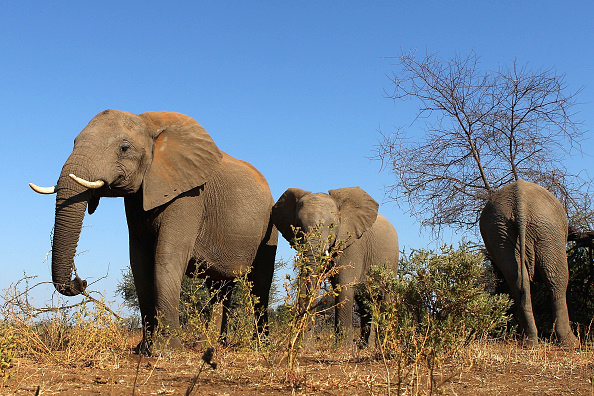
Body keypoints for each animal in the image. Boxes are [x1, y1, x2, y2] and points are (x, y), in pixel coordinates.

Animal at [28, 110, 276, 354]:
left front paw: (168, 350)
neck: (149, 124)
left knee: (260, 284)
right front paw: (143, 349)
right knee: (219, 288)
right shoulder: (137, 198)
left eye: (124, 148)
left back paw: (258, 347)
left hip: (269, 226)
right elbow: (139, 261)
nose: (80, 282)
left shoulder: (188, 195)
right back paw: (212, 346)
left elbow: (166, 257)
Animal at [272, 187, 398, 344]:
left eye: (332, 226)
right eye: (298, 225)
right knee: (364, 302)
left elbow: (343, 285)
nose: (303, 341)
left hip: (391, 262)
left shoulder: (352, 246)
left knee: (384, 297)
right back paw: (365, 346)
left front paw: (344, 347)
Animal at [476, 179, 580, 346]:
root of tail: (520, 205)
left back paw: (529, 341)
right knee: (557, 277)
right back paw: (571, 343)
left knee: (517, 278)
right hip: (547, 228)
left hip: (500, 231)